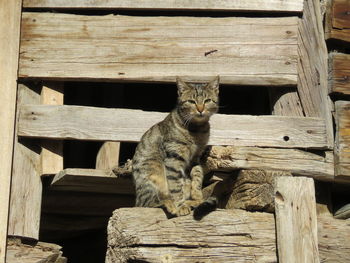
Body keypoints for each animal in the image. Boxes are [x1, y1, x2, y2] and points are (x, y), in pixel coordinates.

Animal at [131, 76, 219, 217]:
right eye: (191, 101)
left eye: (207, 100)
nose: (200, 109)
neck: (197, 130)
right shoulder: (173, 158)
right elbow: (175, 186)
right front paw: (180, 206)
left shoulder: (196, 157)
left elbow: (197, 175)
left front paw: (197, 196)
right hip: (152, 175)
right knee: (151, 202)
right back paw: (171, 204)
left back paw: (192, 202)